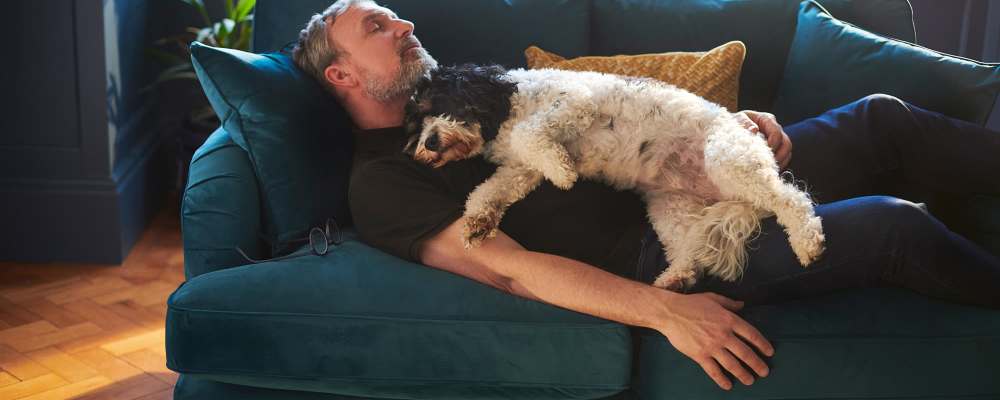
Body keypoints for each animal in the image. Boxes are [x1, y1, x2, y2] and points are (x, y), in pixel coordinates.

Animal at [402, 65, 824, 290]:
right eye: (415, 123)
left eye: (439, 105)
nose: (427, 144)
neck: (507, 104)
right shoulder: (520, 169)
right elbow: (489, 190)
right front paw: (477, 221)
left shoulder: (575, 102)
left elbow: (530, 134)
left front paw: (564, 172)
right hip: (671, 207)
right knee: (689, 253)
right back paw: (675, 279)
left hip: (729, 156)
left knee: (791, 200)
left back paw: (808, 244)